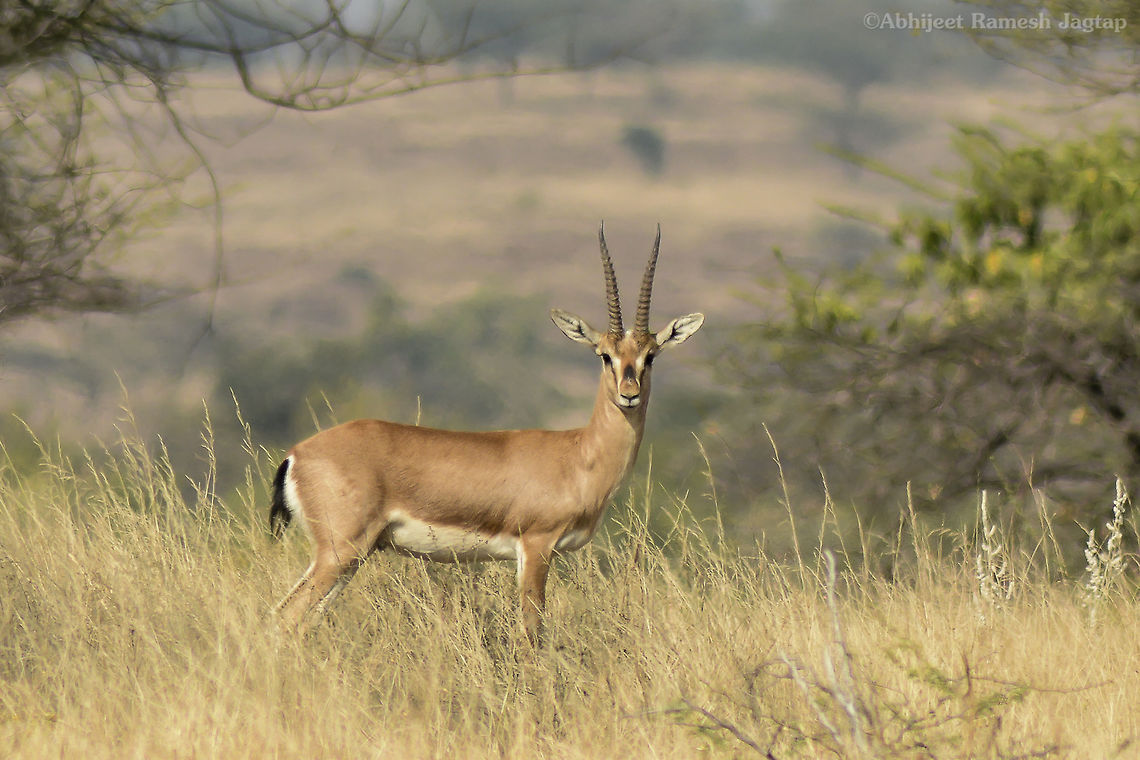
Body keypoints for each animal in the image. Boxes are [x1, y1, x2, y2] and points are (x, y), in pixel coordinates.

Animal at [268, 224, 704, 643]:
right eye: (604, 355)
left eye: (650, 355)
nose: (629, 394)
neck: (579, 454)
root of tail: (296, 455)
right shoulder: (535, 548)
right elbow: (532, 633)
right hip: (339, 552)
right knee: (283, 617)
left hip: (350, 560)